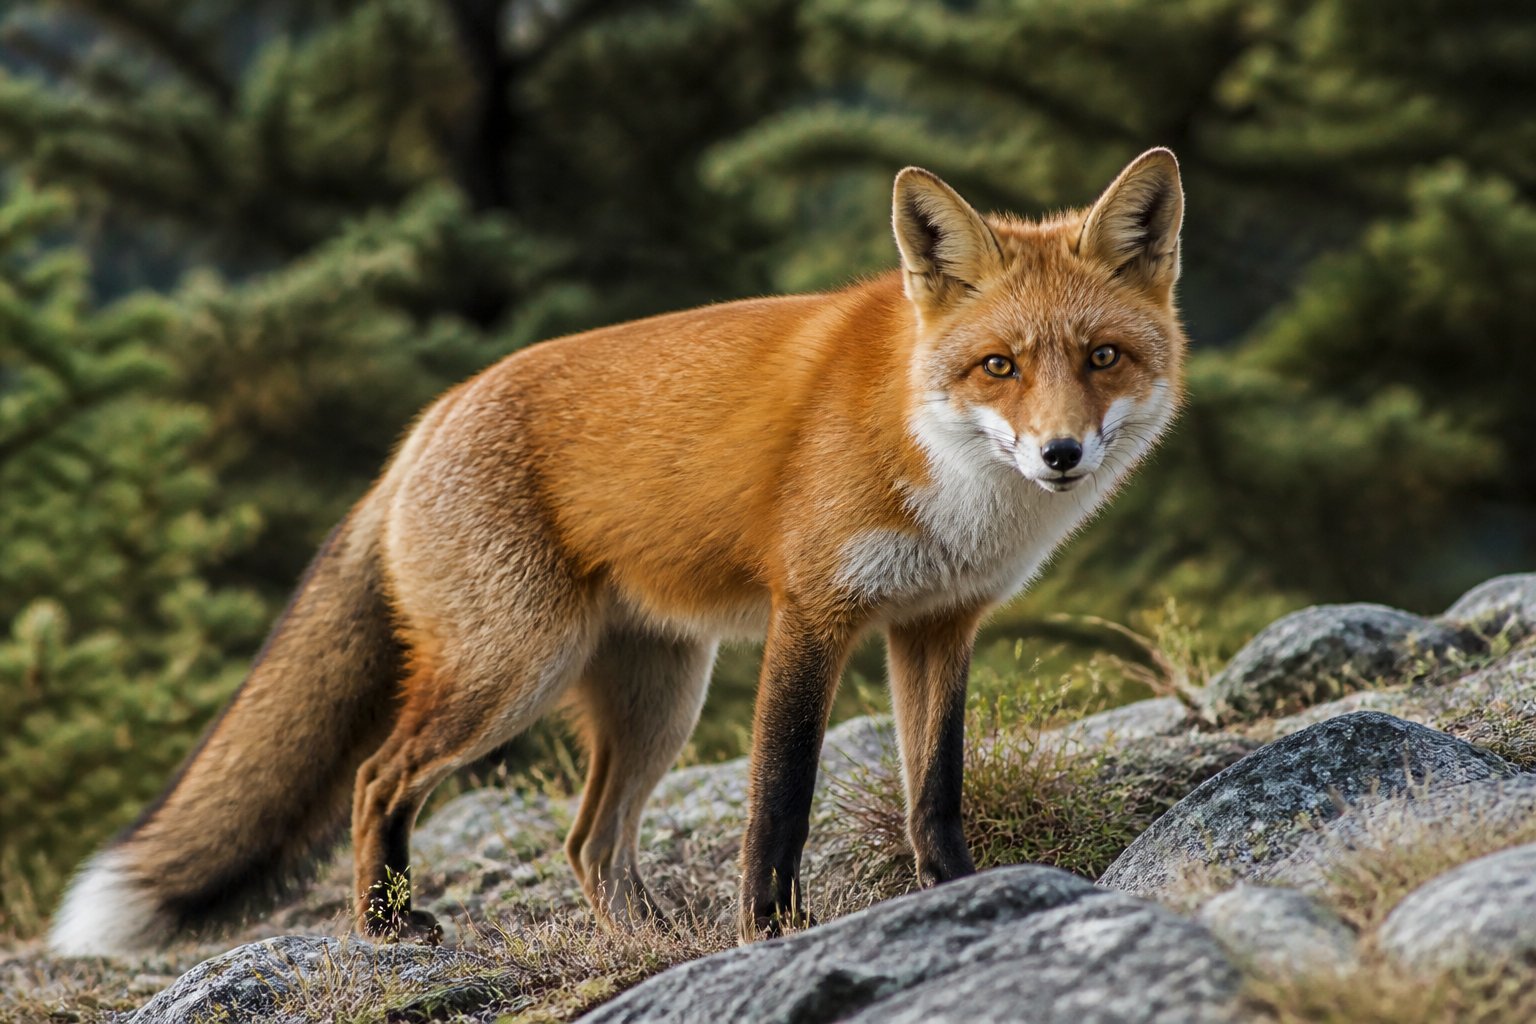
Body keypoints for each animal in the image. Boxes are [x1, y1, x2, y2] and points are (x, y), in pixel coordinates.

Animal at [49, 148, 1188, 956]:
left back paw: (653, 940)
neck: (933, 452)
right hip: (511, 672)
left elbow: (934, 788)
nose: (1061, 453)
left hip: (659, 697)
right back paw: (386, 927)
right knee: (379, 776)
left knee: (588, 843)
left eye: (1102, 357)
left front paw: (961, 892)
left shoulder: (940, 624)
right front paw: (771, 935)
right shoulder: (812, 614)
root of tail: (424, 426)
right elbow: (780, 800)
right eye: (998, 365)